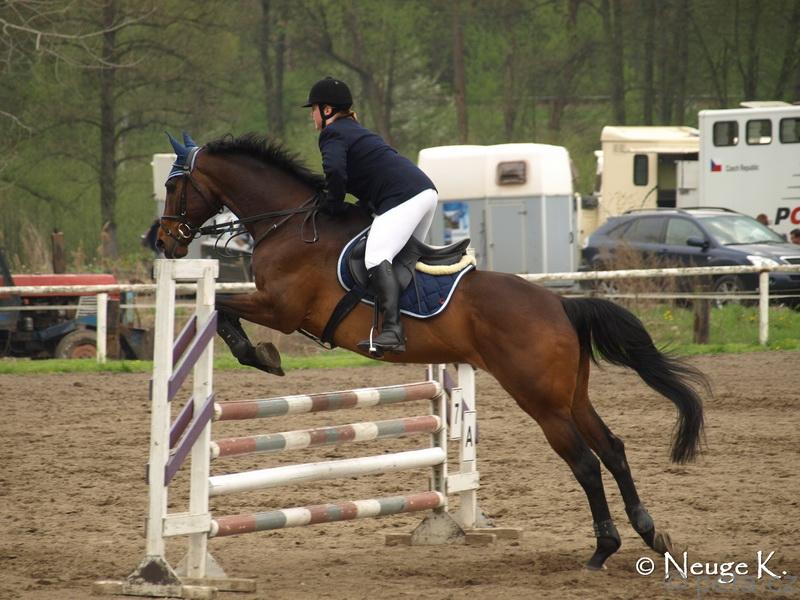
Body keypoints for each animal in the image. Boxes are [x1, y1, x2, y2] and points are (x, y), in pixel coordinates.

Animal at [156, 132, 708, 570]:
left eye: (173, 186)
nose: (162, 242)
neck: (290, 224)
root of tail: (559, 303)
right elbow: (224, 309)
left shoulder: (281, 308)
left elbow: (223, 308)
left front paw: (260, 355)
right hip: (571, 395)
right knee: (612, 449)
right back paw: (649, 533)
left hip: (542, 401)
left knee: (586, 463)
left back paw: (603, 549)